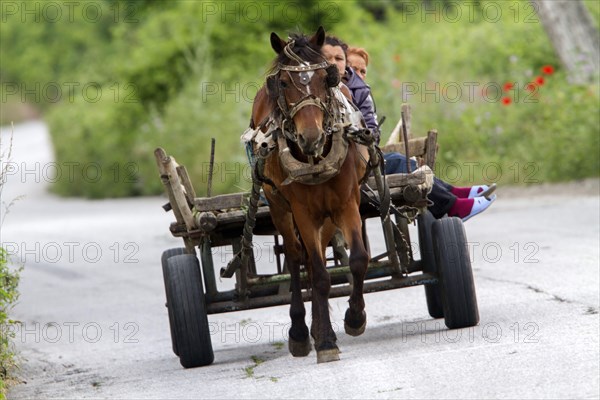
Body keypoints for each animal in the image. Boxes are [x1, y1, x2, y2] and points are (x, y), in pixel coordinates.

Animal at [248, 25, 370, 362]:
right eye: (283, 83)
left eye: (325, 77)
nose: (311, 136)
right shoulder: (302, 212)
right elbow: (318, 274)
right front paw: (326, 341)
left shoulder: (346, 204)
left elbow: (358, 260)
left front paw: (354, 318)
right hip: (279, 207)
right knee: (295, 260)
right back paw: (302, 333)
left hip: (326, 217)